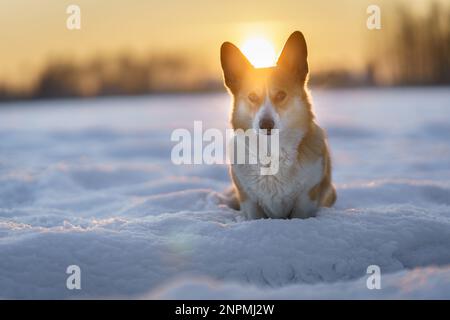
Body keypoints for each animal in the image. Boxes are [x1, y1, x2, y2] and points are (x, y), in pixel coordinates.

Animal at [220, 31, 336, 219]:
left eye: (281, 95)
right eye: (252, 96)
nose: (266, 124)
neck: (271, 152)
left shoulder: (305, 199)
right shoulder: (250, 202)